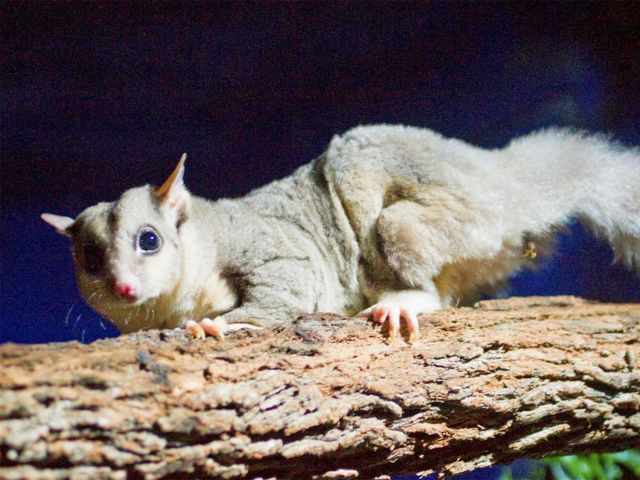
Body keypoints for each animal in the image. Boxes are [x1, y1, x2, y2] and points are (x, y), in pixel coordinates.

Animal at [42, 125, 640, 342]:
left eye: (150, 240)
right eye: (90, 259)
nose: (123, 287)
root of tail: (500, 182)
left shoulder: (268, 245)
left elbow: (284, 286)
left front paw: (221, 325)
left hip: (439, 218)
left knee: (430, 282)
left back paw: (403, 300)